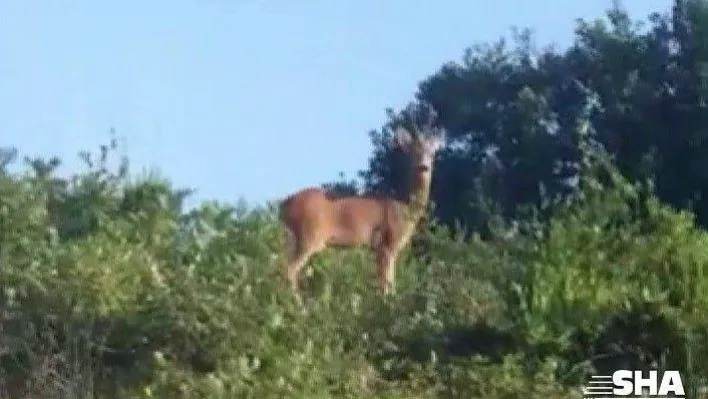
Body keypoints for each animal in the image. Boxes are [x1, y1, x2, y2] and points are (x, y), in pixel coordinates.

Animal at [280, 104, 446, 304]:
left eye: (432, 153)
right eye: (414, 151)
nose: (424, 166)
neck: (404, 207)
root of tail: (283, 206)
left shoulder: (379, 248)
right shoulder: (387, 243)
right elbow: (386, 284)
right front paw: (387, 305)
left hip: (292, 238)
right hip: (309, 235)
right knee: (288, 270)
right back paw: (300, 306)